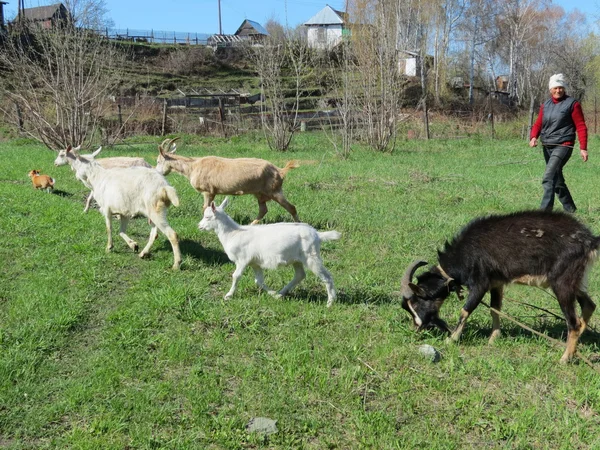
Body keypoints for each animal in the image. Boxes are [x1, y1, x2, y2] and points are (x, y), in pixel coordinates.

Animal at [155, 138, 300, 224]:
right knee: (263, 210)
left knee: (291, 207)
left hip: (274, 190)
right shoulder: (212, 192)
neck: (193, 166)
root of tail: (280, 171)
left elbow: (205, 207)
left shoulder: (207, 191)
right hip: (260, 193)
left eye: (158, 161)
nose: (157, 172)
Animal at [199, 199, 340, 308]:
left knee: (327, 277)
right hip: (297, 259)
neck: (233, 234)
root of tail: (317, 235)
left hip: (311, 256)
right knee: (300, 275)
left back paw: (330, 302)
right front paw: (274, 294)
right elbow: (259, 281)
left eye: (207, 217)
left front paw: (228, 295)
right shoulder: (254, 263)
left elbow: (236, 276)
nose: (199, 226)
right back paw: (282, 292)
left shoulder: (242, 260)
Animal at [400, 210, 600, 362]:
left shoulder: (480, 283)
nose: (416, 327)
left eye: (416, 302)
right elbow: (495, 308)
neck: (463, 254)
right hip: (575, 281)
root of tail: (590, 240)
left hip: (562, 282)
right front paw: (493, 338)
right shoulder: (496, 283)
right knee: (589, 305)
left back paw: (565, 358)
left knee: (573, 322)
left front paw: (452, 339)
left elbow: (465, 310)